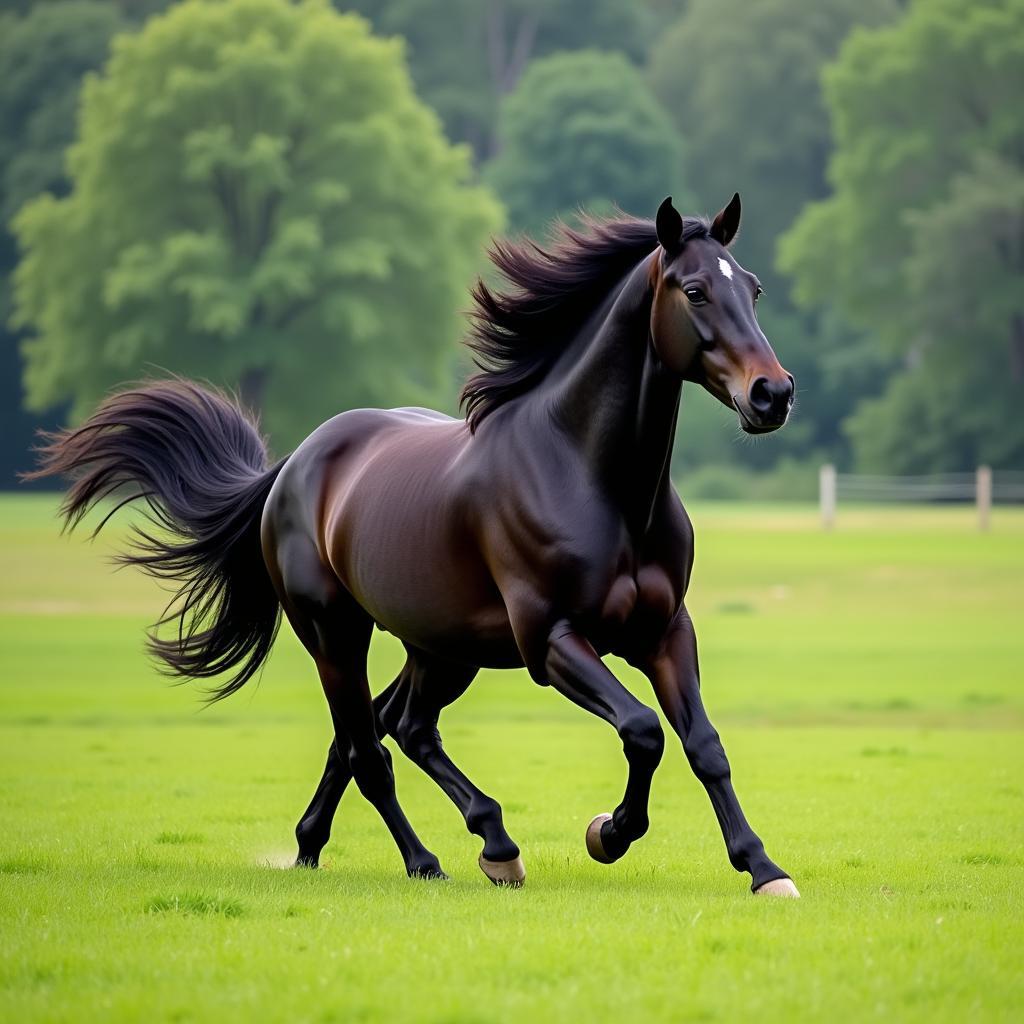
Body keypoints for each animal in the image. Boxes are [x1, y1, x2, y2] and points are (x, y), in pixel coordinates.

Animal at [29, 192, 798, 897]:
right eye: (694, 290)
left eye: (753, 286)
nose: (773, 394)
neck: (596, 481)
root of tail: (294, 465)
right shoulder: (551, 641)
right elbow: (643, 730)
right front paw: (608, 833)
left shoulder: (664, 631)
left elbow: (703, 745)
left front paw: (763, 868)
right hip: (336, 634)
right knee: (370, 747)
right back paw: (432, 859)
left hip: (442, 646)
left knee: (396, 725)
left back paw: (364, 844)